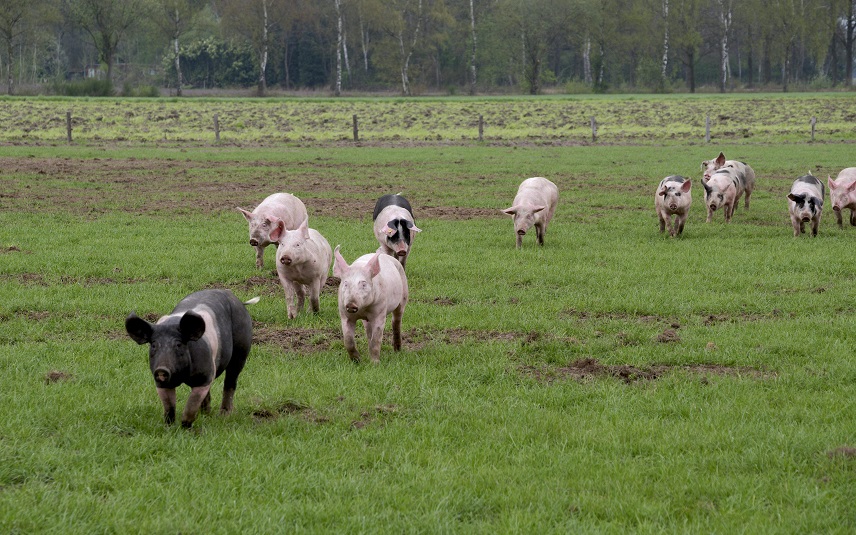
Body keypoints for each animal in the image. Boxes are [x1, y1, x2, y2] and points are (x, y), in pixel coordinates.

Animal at [123, 292, 258, 430]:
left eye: (178, 344)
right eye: (154, 345)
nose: (161, 369)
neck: (183, 375)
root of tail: (238, 301)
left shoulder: (203, 377)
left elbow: (191, 405)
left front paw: (185, 428)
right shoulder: (162, 383)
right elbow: (169, 406)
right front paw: (169, 427)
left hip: (241, 349)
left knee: (230, 381)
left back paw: (224, 415)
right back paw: (205, 415)